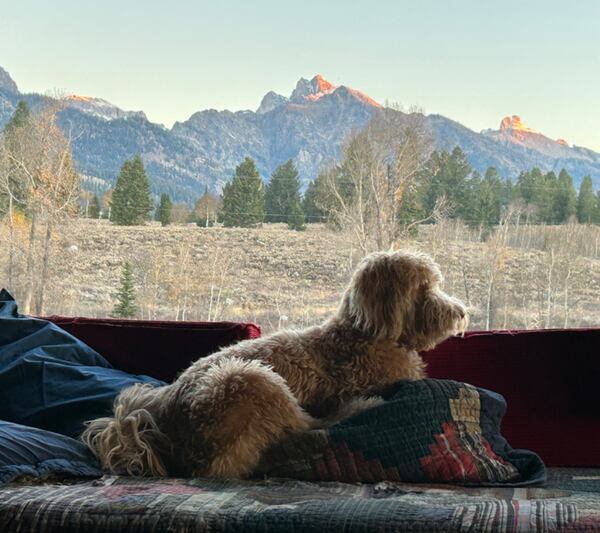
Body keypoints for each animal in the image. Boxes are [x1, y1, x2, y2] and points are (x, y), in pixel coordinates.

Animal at [82, 249, 468, 478]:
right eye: (424, 288)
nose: (461, 313)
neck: (365, 330)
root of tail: (164, 415)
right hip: (251, 380)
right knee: (302, 429)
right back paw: (359, 407)